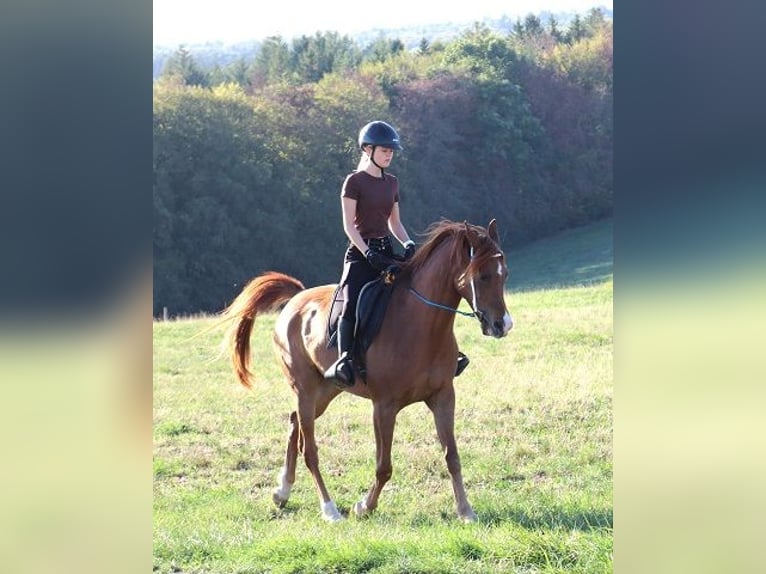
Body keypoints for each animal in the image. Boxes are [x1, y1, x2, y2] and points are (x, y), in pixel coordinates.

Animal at [221, 218, 513, 522]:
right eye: (482, 277)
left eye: (504, 275)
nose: (503, 325)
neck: (421, 325)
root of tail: (296, 299)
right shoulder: (384, 406)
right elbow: (384, 466)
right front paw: (364, 506)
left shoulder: (443, 397)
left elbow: (452, 457)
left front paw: (466, 511)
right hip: (305, 389)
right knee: (309, 449)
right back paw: (329, 509)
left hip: (326, 391)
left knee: (294, 422)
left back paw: (282, 492)